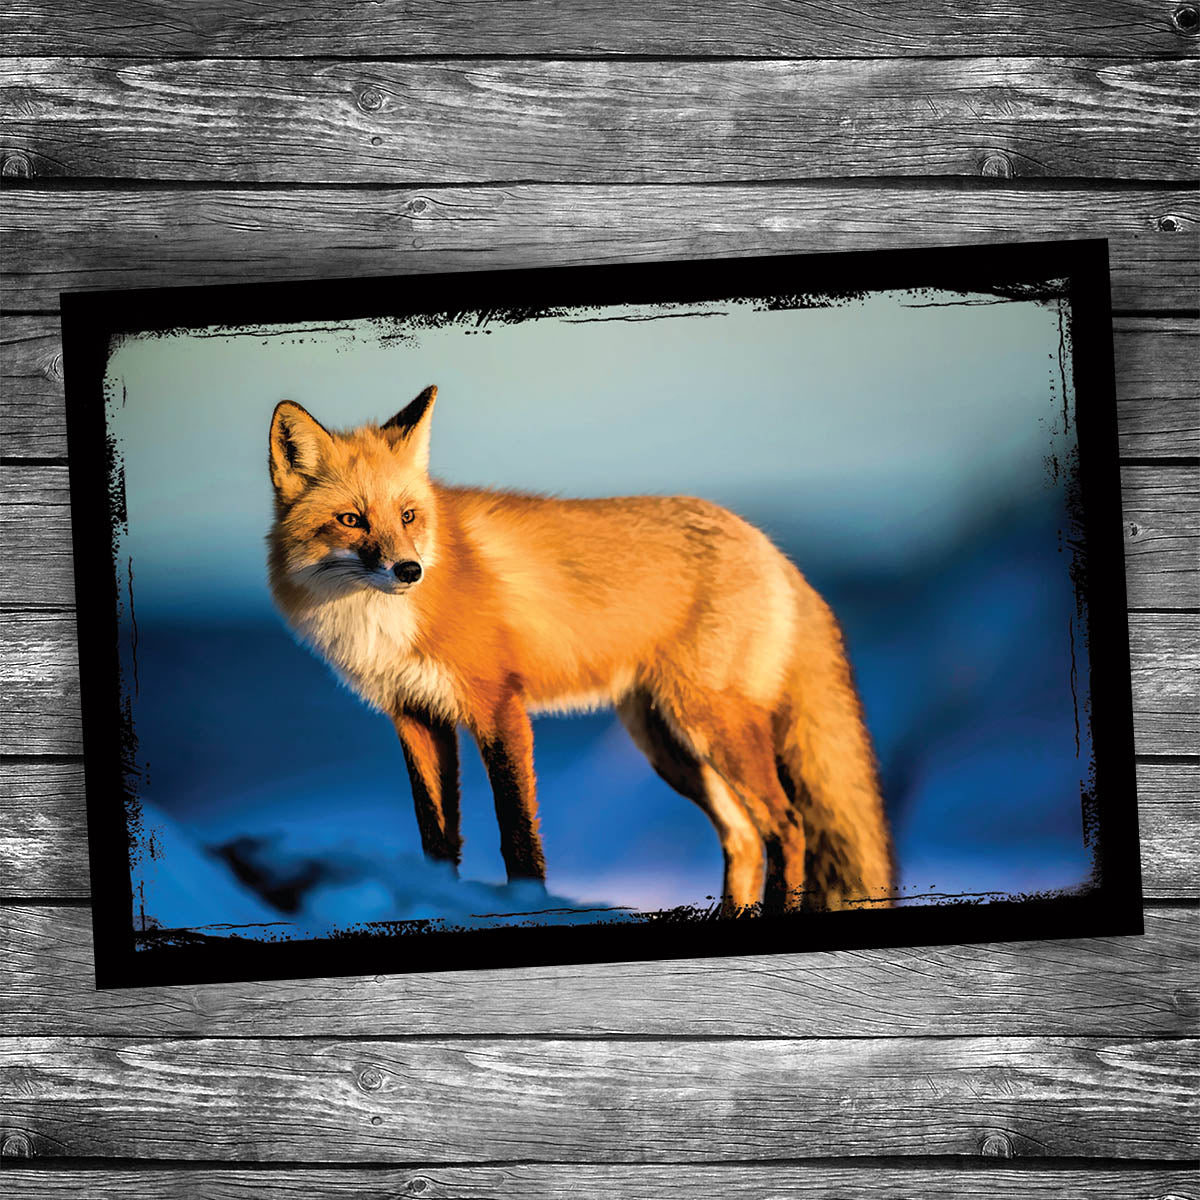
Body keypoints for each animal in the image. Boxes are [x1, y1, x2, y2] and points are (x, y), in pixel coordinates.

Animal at [267, 385, 894, 914]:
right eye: (351, 519)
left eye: (408, 516)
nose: (409, 571)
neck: (380, 623)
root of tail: (770, 547)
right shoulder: (416, 715)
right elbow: (437, 837)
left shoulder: (498, 706)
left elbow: (518, 834)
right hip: (668, 744)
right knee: (743, 837)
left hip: (712, 725)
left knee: (787, 826)